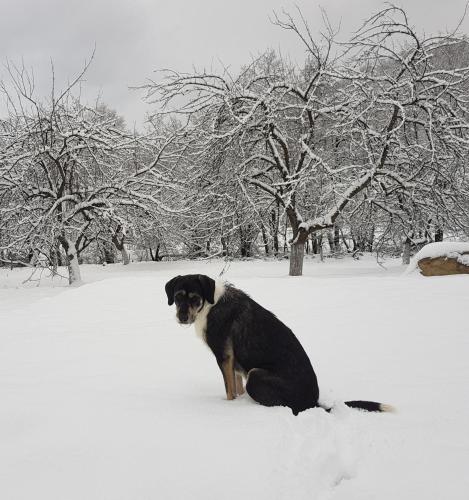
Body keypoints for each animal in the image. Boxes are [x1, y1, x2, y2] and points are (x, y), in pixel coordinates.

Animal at [165, 274, 392, 414]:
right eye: (177, 297)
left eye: (195, 298)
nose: (182, 318)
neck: (209, 303)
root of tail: (313, 403)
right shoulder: (234, 362)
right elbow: (236, 388)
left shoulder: (224, 356)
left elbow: (229, 391)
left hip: (255, 375)